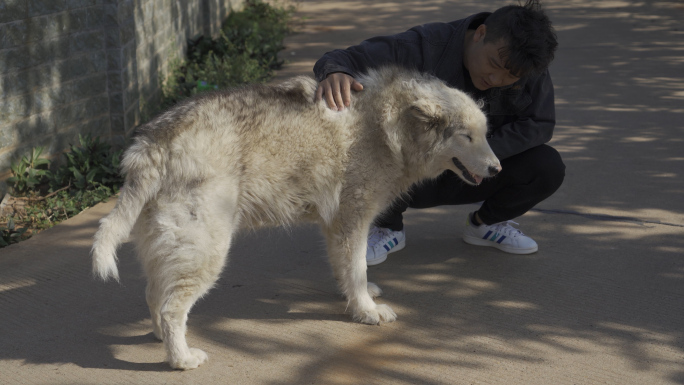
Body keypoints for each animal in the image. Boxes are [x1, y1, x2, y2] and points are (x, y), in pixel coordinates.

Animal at [92, 67, 502, 368]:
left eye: (484, 134)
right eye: (466, 136)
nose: (498, 169)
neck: (389, 126)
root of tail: (152, 142)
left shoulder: (337, 227)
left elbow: (348, 271)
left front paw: (356, 299)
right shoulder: (352, 221)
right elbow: (356, 268)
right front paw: (366, 312)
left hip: (174, 253)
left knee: (154, 297)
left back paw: (161, 340)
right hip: (205, 255)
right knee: (171, 309)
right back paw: (181, 359)